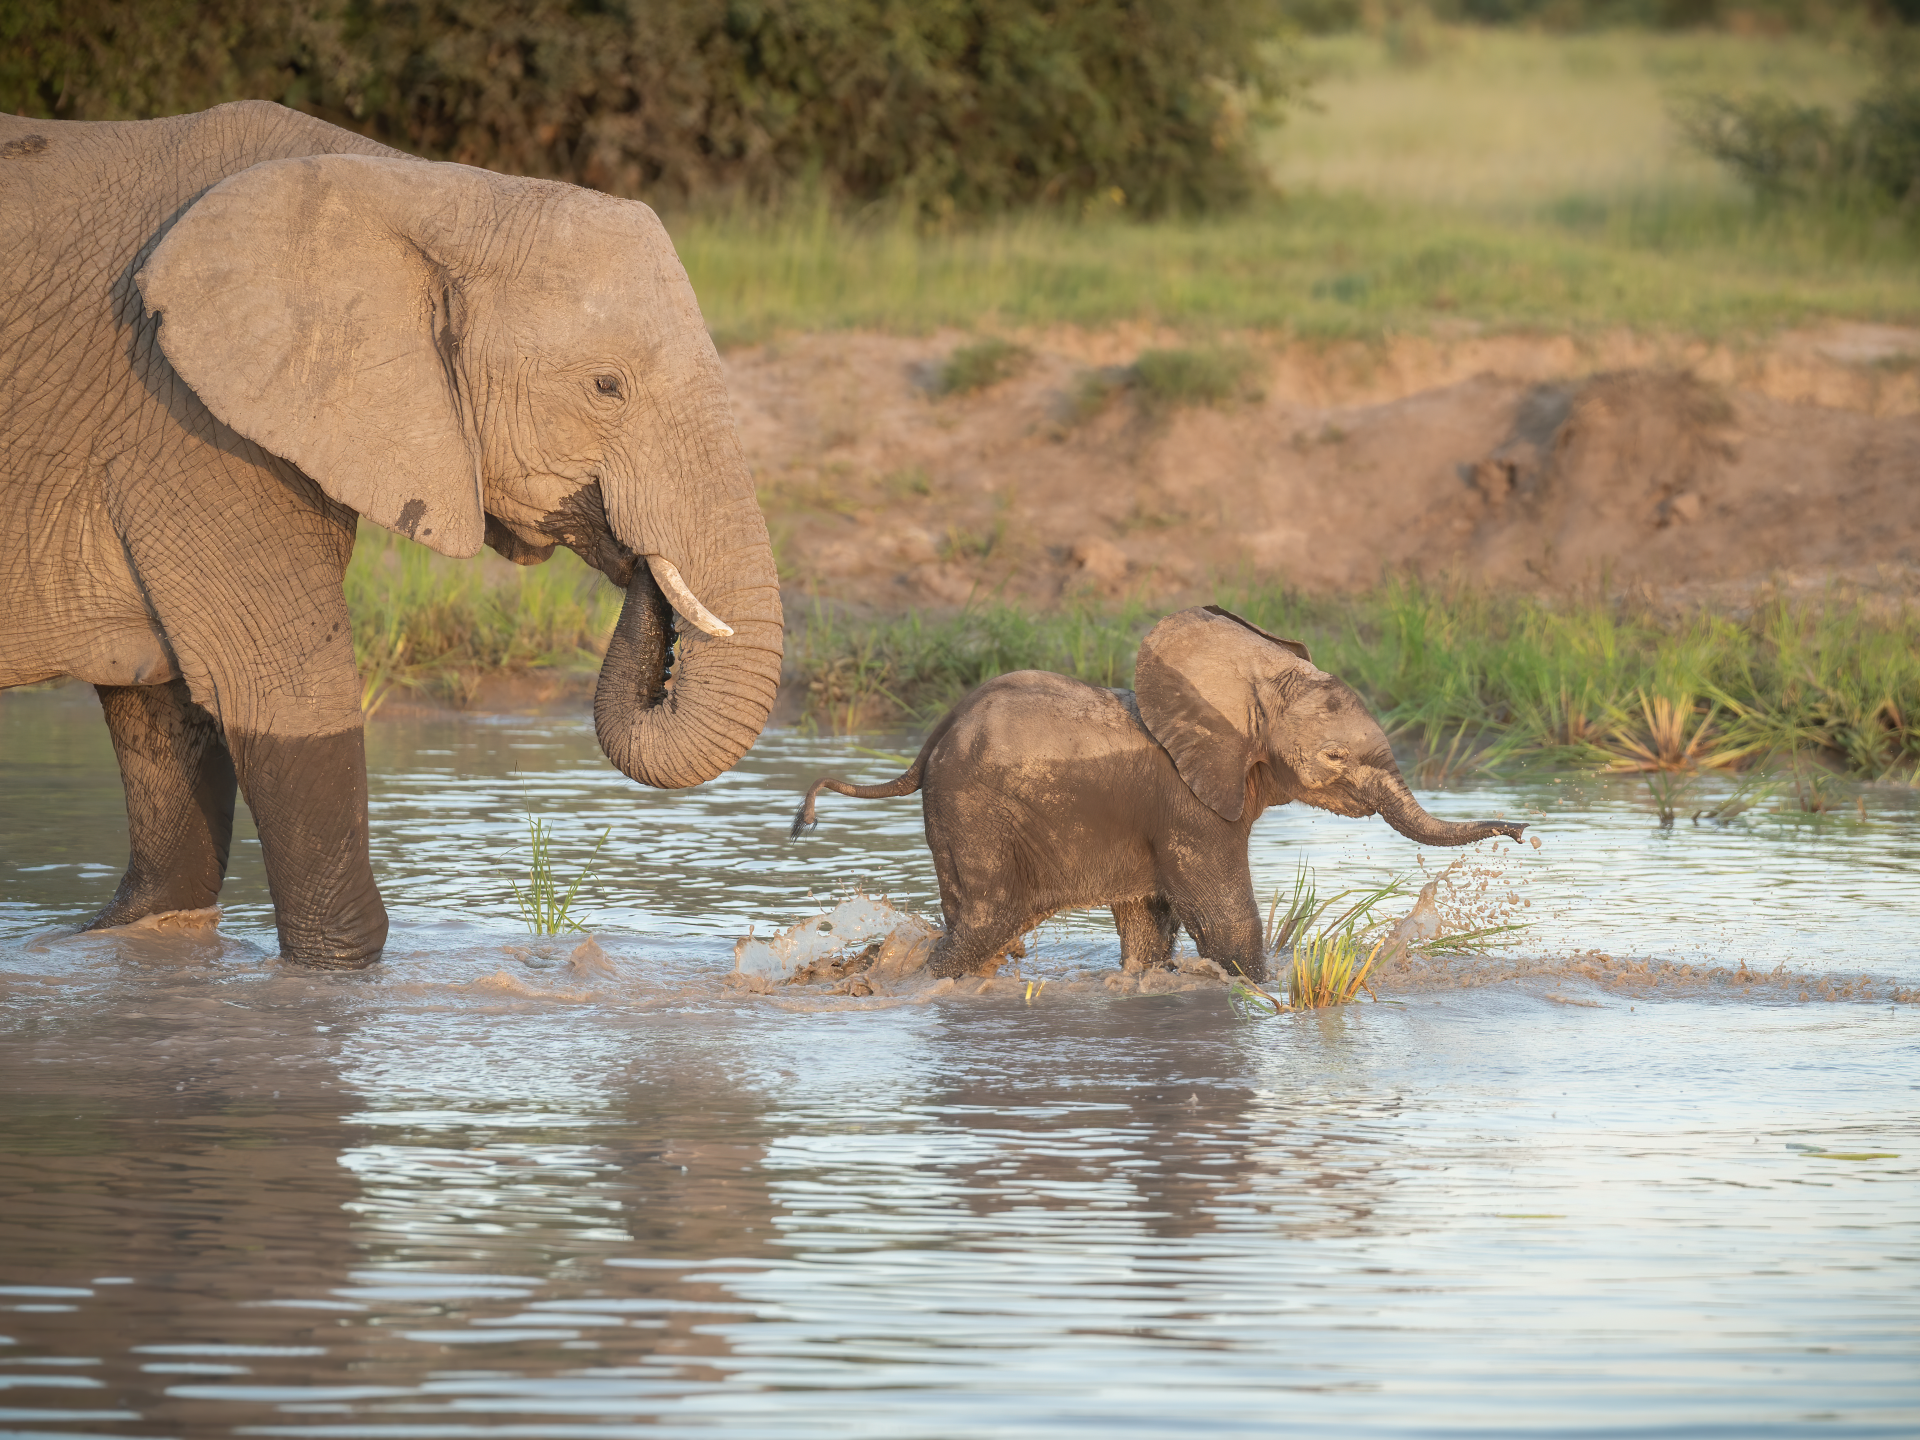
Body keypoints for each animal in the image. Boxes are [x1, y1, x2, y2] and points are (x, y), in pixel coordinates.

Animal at [0, 102, 782, 968]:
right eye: (606, 387)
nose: (639, 557)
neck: (414, 187)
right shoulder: (186, 426)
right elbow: (281, 696)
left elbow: (163, 717)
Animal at [790, 606, 1525, 982]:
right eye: (1336, 758)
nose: (1519, 832)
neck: (1250, 679)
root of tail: (930, 741)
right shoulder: (1192, 808)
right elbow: (1227, 923)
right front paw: (1259, 994)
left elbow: (1149, 926)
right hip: (974, 813)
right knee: (982, 925)